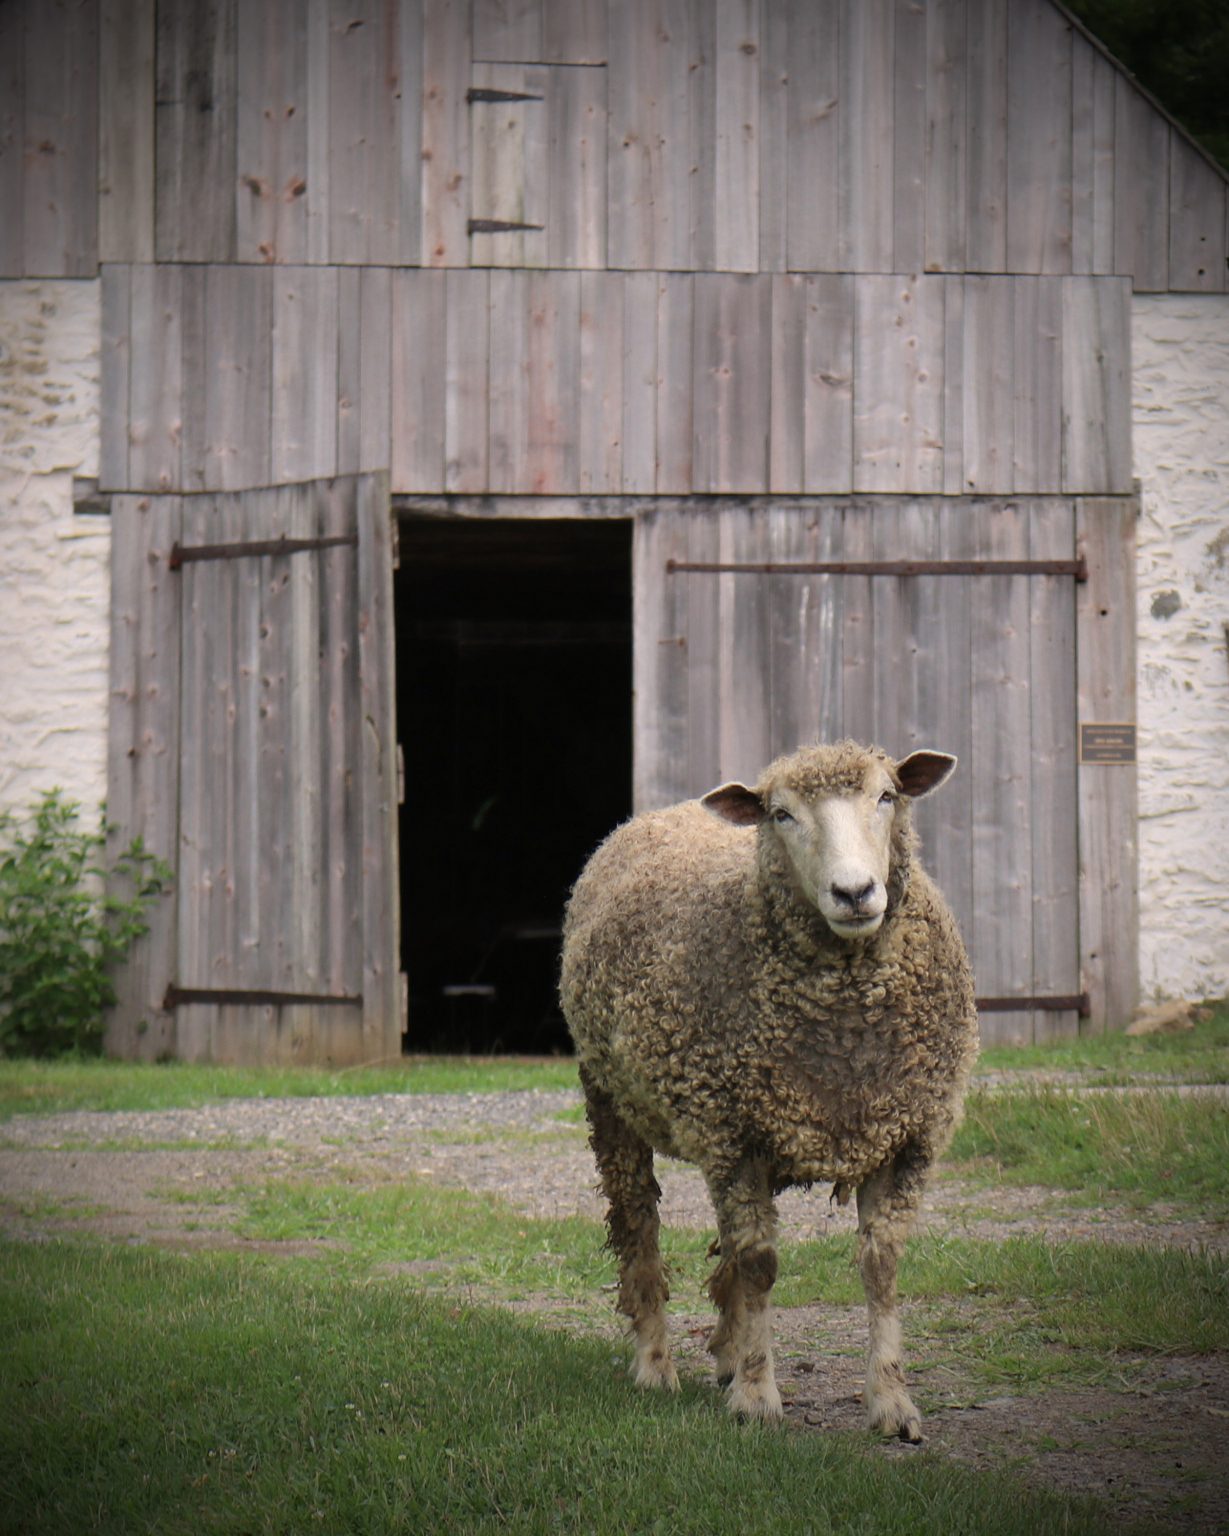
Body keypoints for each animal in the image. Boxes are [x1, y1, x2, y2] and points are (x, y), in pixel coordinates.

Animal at [559, 740, 979, 1442]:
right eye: (781, 814)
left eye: (886, 796)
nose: (855, 892)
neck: (845, 1044)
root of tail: (667, 811)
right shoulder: (734, 1136)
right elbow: (760, 1265)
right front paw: (758, 1397)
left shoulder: (905, 1136)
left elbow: (881, 1264)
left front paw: (892, 1403)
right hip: (613, 1099)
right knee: (638, 1223)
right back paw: (655, 1363)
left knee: (725, 1241)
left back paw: (727, 1352)